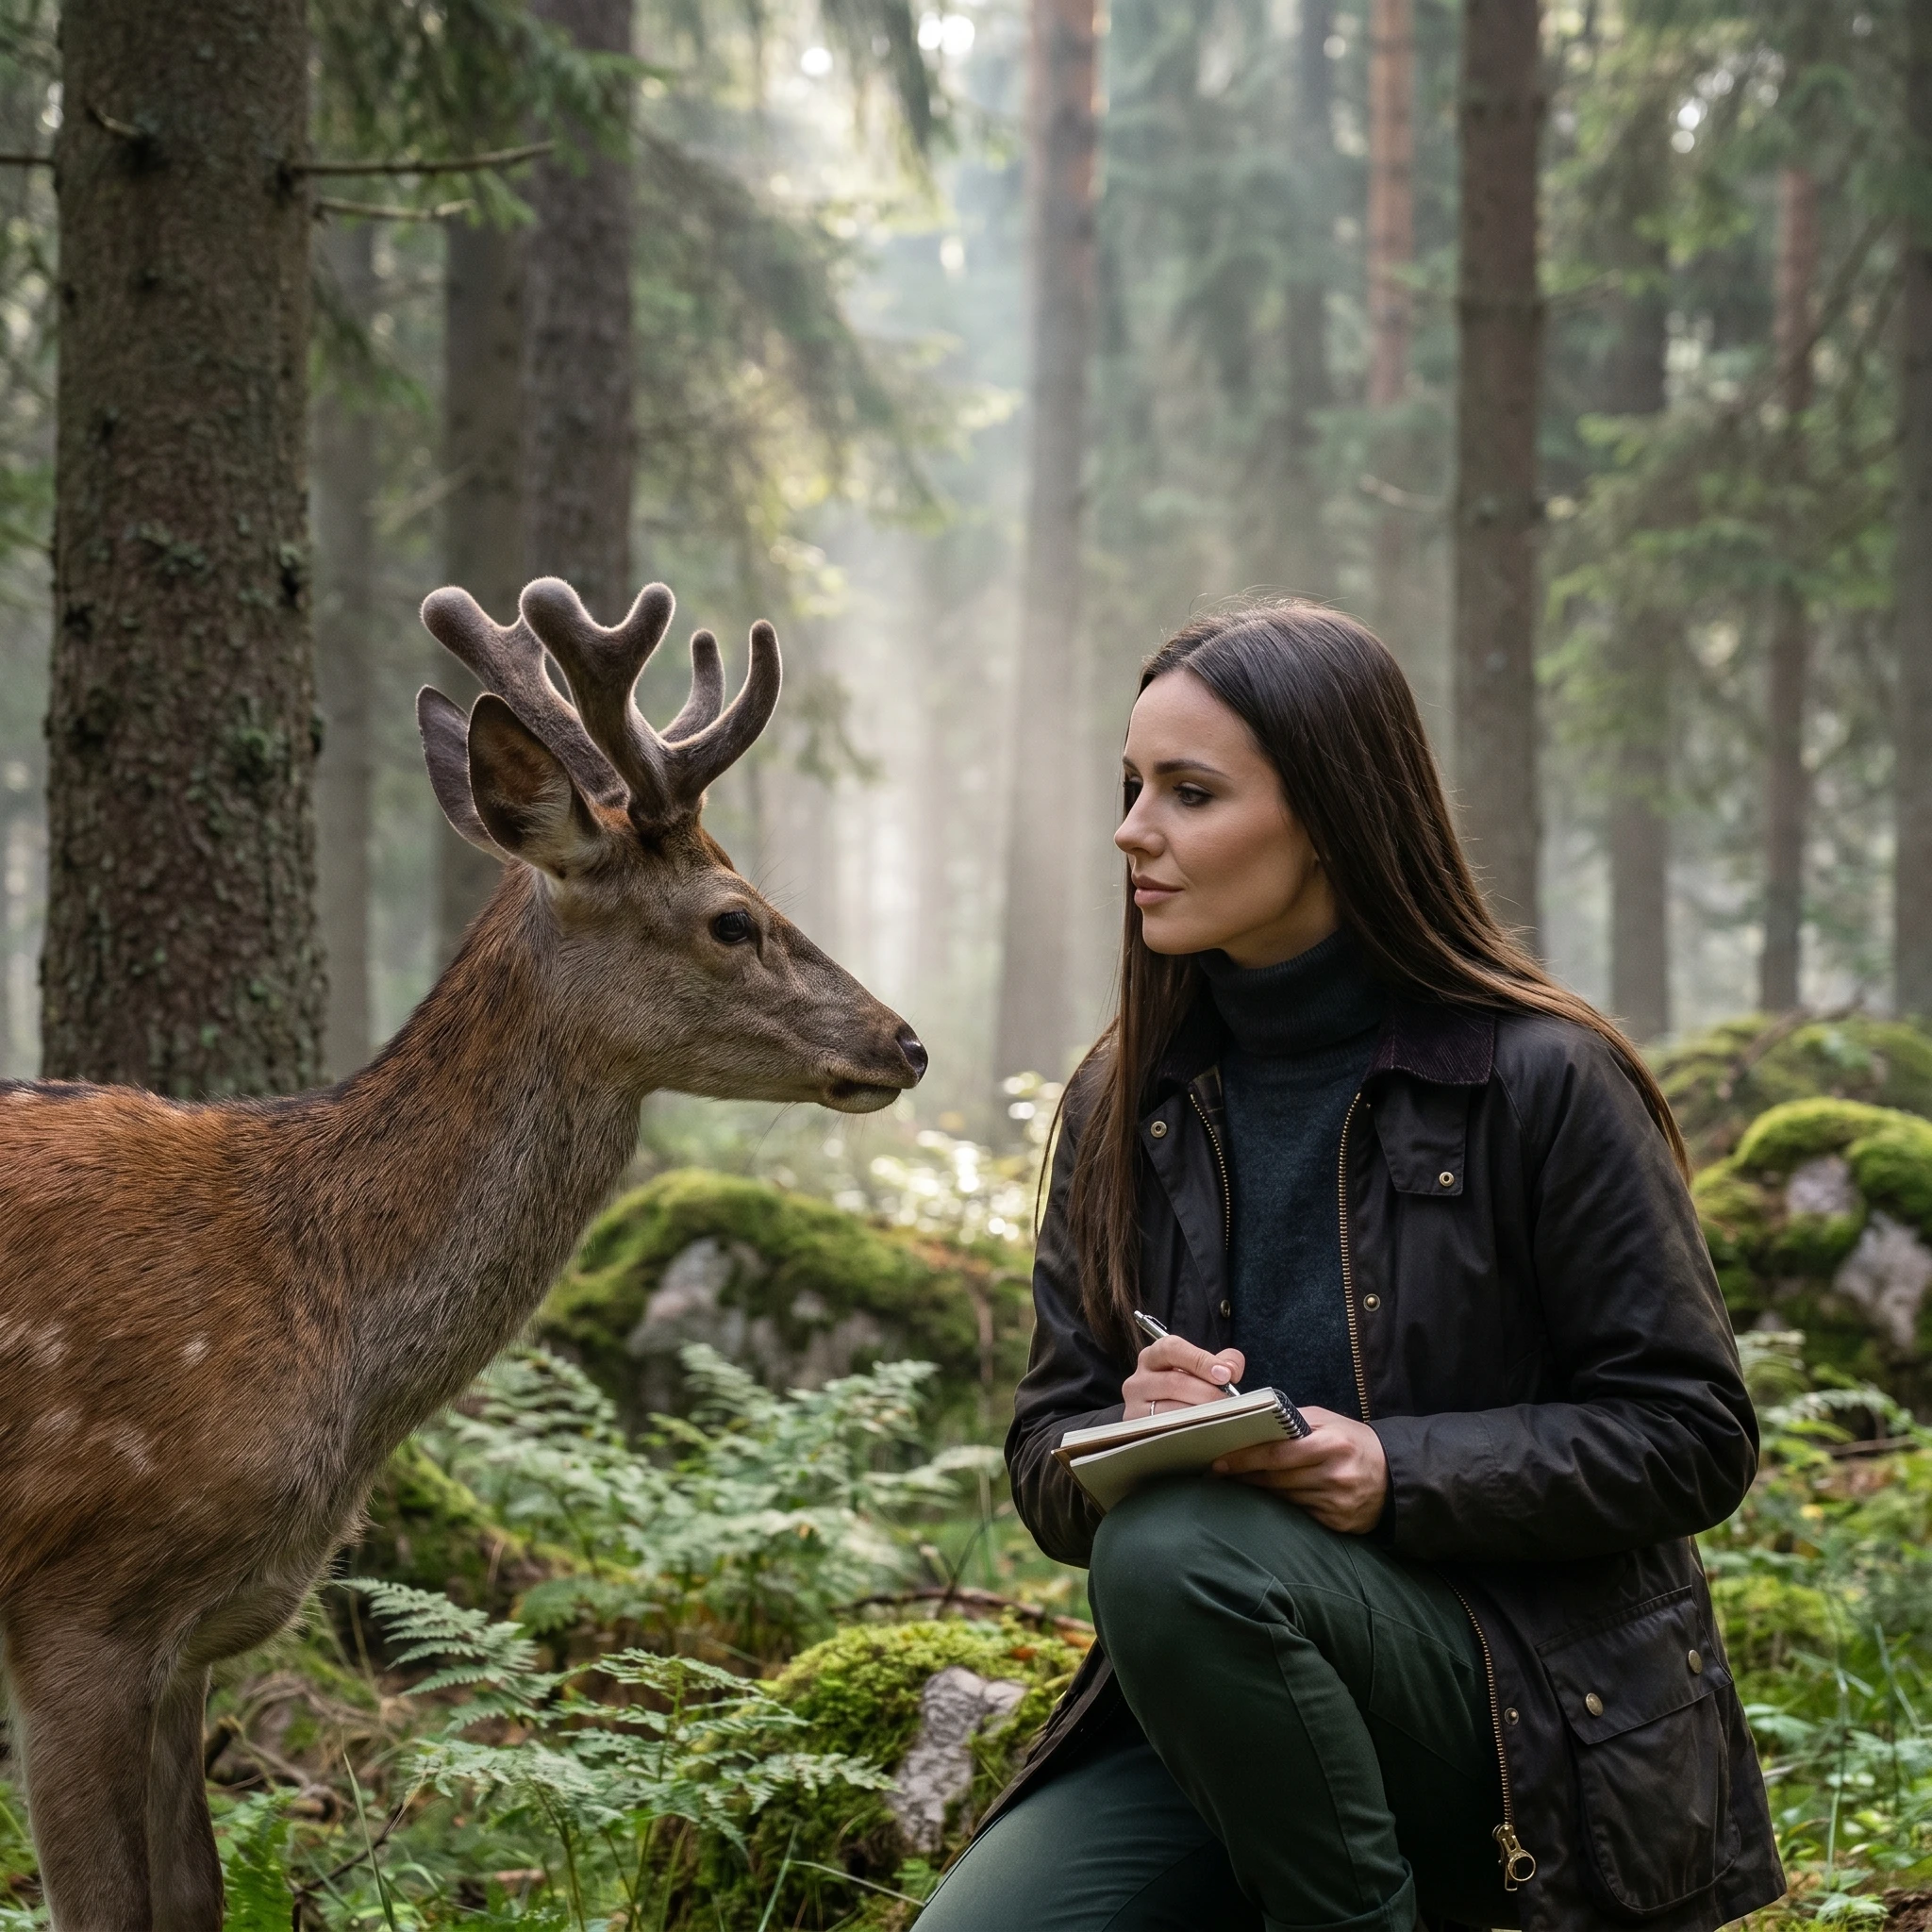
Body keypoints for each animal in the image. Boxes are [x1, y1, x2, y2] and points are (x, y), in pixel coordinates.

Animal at [0, 574, 927, 1932]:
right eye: (732, 918)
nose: (904, 1040)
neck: (314, 1307)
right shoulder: (77, 1608)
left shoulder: (191, 1645)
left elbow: (197, 1896)